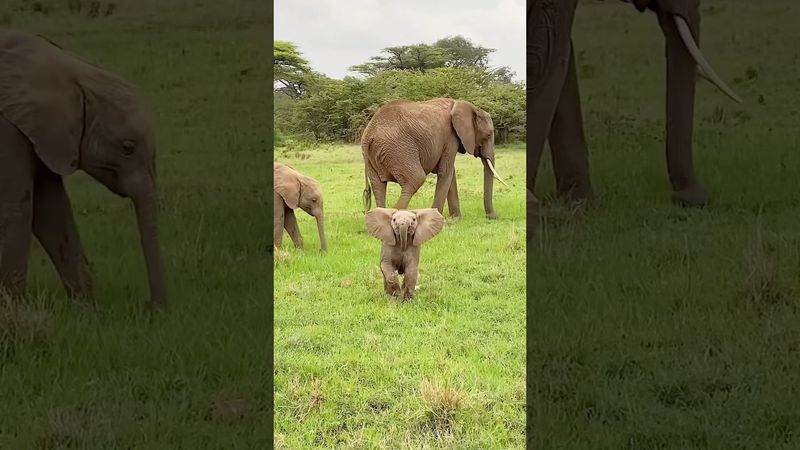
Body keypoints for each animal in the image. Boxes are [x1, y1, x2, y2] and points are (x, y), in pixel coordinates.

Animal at [0, 28, 166, 307]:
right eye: (127, 147)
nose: (152, 308)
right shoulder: (8, 132)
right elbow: (16, 210)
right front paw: (12, 308)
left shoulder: (46, 137)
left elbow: (51, 210)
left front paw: (87, 309)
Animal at [361, 98, 509, 221]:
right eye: (488, 135)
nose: (492, 217)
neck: (465, 105)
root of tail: (369, 134)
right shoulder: (450, 137)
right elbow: (446, 172)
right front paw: (438, 219)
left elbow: (450, 174)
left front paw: (455, 219)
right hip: (399, 149)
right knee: (415, 179)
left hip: (374, 156)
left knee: (378, 186)